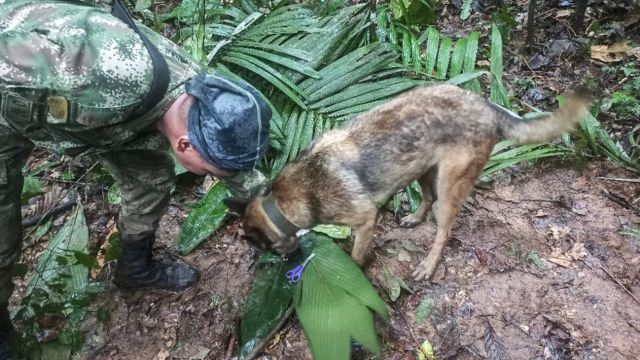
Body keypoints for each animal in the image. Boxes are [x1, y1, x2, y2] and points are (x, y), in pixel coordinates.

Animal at [226, 85, 592, 282]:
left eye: (262, 248)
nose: (283, 264)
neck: (286, 199)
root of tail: (486, 106)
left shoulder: (365, 219)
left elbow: (356, 255)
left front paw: (353, 271)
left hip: (449, 185)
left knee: (444, 230)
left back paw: (428, 265)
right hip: (422, 169)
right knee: (426, 198)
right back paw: (415, 218)